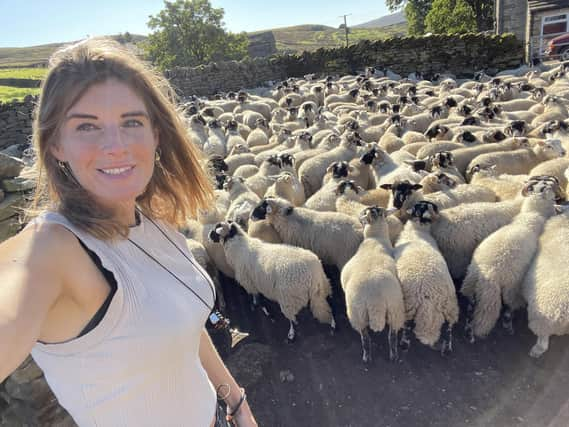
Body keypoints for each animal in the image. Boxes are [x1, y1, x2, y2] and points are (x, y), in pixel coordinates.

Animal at [340, 206, 406, 362]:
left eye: (364, 212)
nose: (359, 217)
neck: (375, 238)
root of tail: (375, 299)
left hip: (357, 313)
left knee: (365, 337)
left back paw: (367, 356)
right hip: (394, 308)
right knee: (392, 335)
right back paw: (393, 355)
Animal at [392, 202, 460, 356]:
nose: (438, 208)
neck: (418, 231)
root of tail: (430, 294)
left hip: (410, 304)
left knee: (407, 325)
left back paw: (404, 344)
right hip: (450, 305)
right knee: (449, 326)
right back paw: (447, 349)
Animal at [462, 186, 556, 342]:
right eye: (546, 191)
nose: (553, 190)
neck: (531, 215)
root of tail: (487, 273)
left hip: (471, 281)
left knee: (469, 303)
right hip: (509, 286)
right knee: (501, 307)